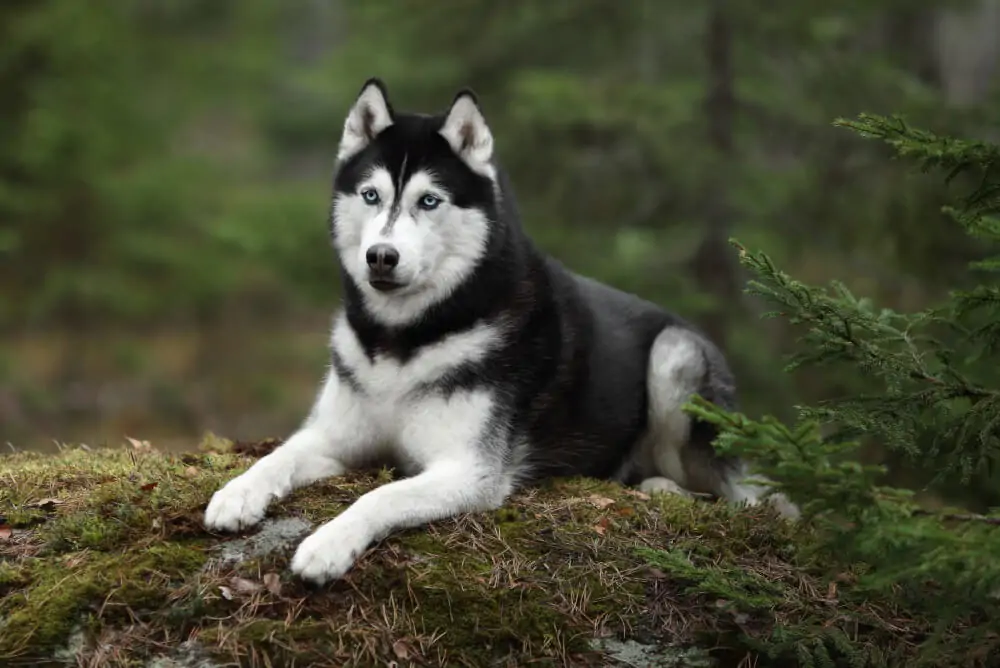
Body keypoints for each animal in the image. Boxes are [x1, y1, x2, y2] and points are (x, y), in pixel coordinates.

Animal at [205, 78, 796, 584]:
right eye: (371, 195)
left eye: (429, 200)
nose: (381, 256)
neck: (404, 340)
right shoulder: (335, 436)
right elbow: (277, 456)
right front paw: (236, 494)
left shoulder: (469, 470)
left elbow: (380, 496)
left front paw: (327, 545)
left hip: (675, 357)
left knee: (734, 497)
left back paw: (668, 489)